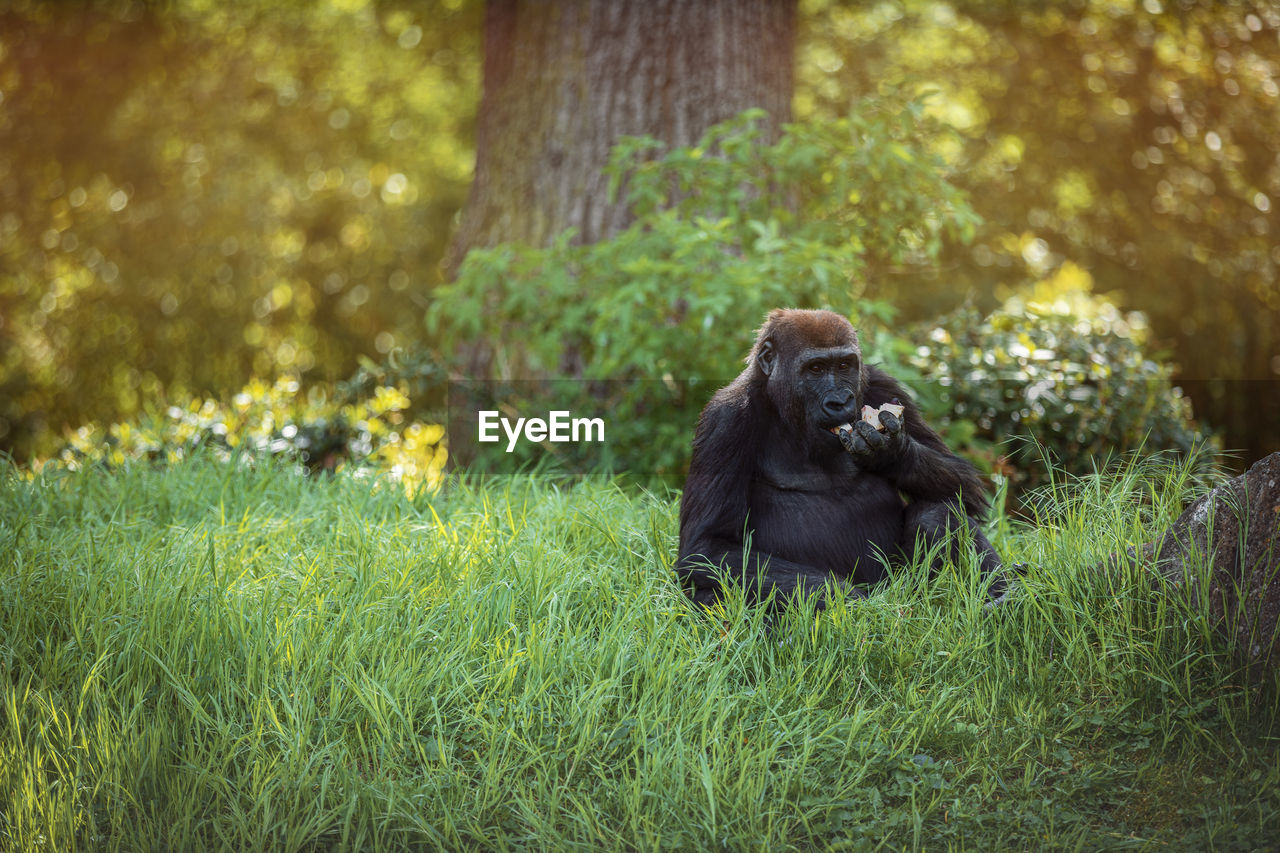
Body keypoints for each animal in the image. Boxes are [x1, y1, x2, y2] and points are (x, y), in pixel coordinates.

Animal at [680, 308, 1008, 607]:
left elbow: (964, 486)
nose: (840, 401)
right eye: (815, 369)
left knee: (940, 510)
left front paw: (892, 452)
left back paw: (1002, 602)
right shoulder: (725, 419)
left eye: (843, 365)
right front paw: (849, 602)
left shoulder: (883, 384)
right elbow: (707, 547)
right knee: (716, 594)